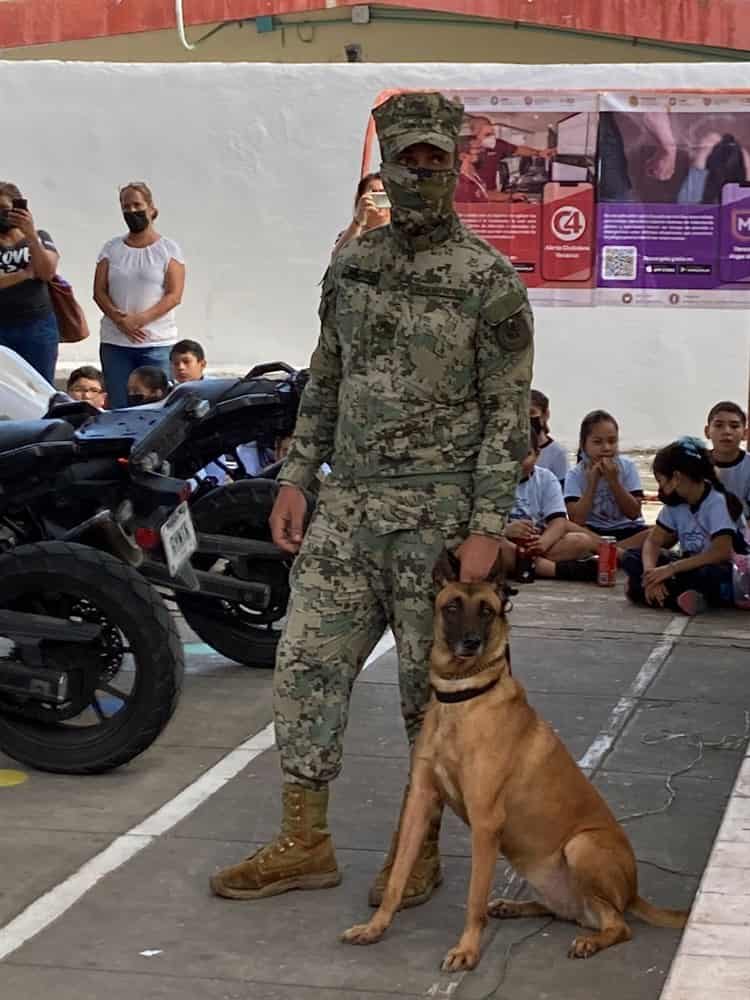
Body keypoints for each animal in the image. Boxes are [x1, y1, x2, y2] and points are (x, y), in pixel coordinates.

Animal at [344, 552, 692, 972]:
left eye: (487, 611)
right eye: (452, 607)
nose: (471, 643)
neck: (461, 698)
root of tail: (633, 893)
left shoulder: (485, 823)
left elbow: (474, 898)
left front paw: (467, 950)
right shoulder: (420, 802)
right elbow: (397, 878)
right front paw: (374, 927)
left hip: (582, 846)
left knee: (618, 925)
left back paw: (590, 941)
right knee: (564, 911)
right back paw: (514, 906)